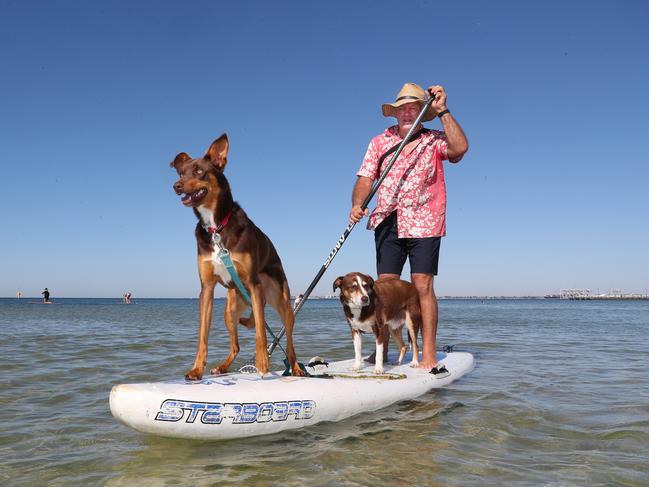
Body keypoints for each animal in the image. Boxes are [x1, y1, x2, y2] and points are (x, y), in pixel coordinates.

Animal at [172, 134, 304, 382]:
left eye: (199, 171)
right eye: (181, 173)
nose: (176, 186)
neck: (216, 227)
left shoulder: (253, 284)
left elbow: (261, 333)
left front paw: (262, 365)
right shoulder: (206, 289)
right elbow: (202, 336)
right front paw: (196, 369)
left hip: (282, 303)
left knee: (289, 342)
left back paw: (297, 368)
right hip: (230, 310)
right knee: (236, 346)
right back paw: (222, 367)